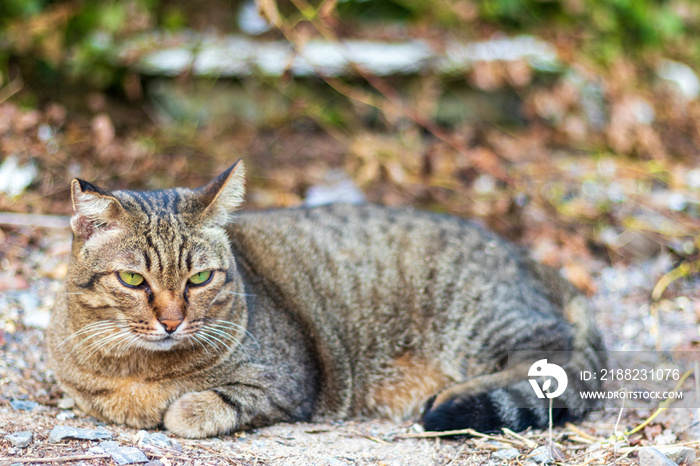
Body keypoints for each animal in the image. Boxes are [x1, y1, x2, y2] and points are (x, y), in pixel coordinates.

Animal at [47, 160, 608, 436]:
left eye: (200, 279)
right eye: (133, 280)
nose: (171, 321)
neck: (137, 369)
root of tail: (529, 257)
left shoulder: (288, 382)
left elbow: (192, 409)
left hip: (480, 317)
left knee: (550, 358)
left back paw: (450, 399)